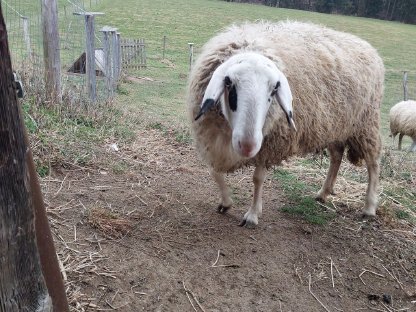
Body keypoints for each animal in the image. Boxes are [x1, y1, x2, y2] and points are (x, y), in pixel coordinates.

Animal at [187, 21, 386, 227]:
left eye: (274, 89)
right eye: (228, 83)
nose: (248, 145)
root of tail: (367, 46)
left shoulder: (269, 144)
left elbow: (257, 179)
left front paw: (252, 214)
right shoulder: (212, 141)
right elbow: (214, 173)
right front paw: (226, 203)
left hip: (366, 124)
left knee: (373, 163)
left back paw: (369, 207)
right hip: (336, 127)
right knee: (336, 156)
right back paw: (323, 193)